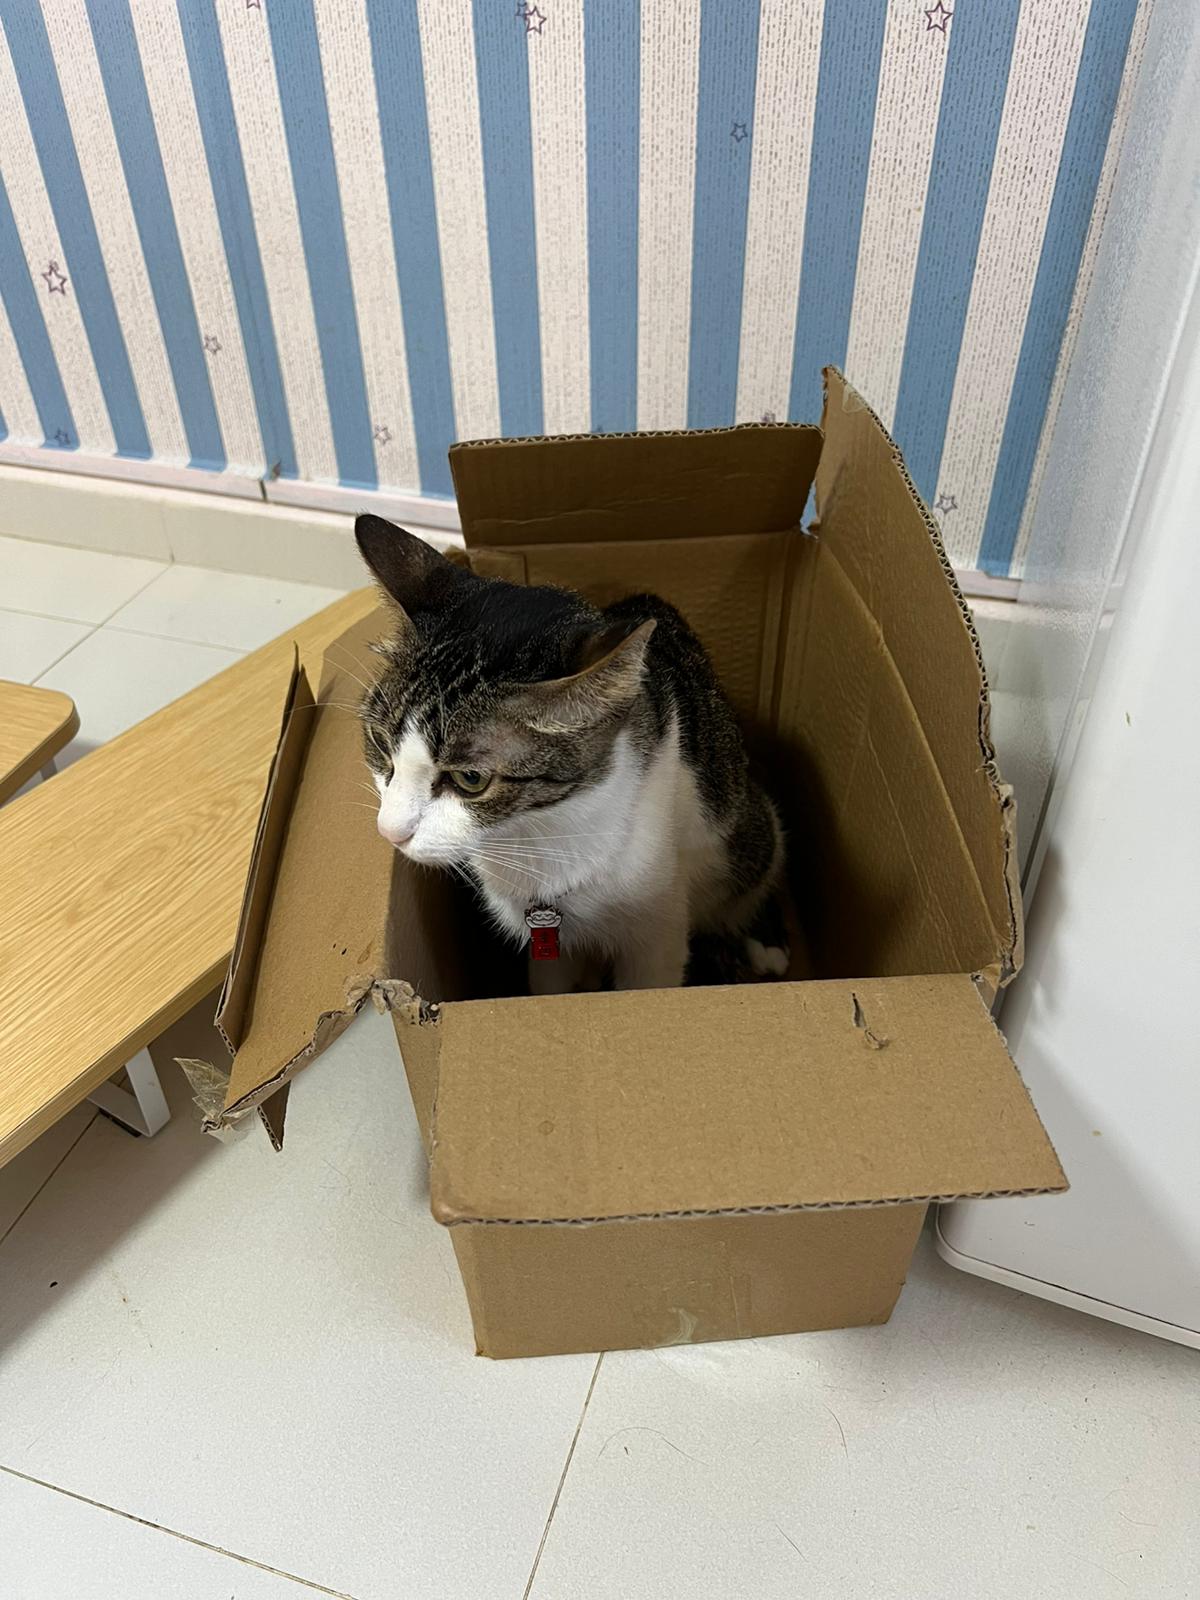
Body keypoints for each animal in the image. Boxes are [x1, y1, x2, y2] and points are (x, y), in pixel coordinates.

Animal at [354, 514, 789, 994]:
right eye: (380, 742)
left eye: (471, 779)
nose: (389, 832)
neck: (534, 835)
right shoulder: (546, 943)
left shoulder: (656, 935)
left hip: (747, 831)